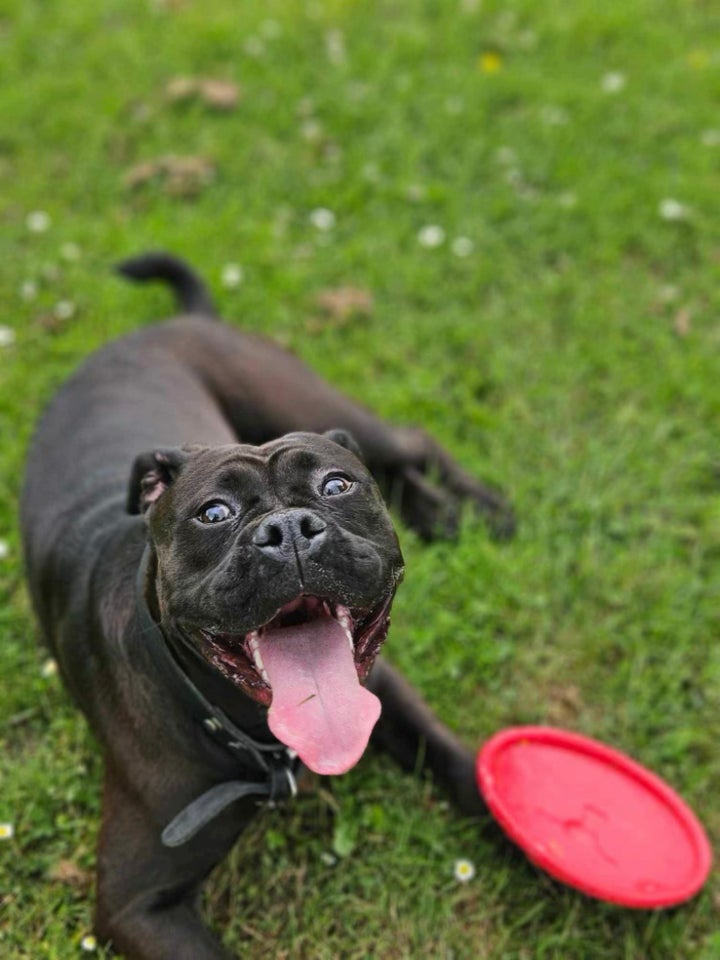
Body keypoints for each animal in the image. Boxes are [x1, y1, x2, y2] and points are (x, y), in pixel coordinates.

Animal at [21, 255, 512, 960]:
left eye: (335, 485)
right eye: (213, 513)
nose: (288, 530)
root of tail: (174, 323)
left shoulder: (386, 690)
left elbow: (463, 769)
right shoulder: (137, 904)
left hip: (310, 403)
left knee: (411, 444)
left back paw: (478, 510)